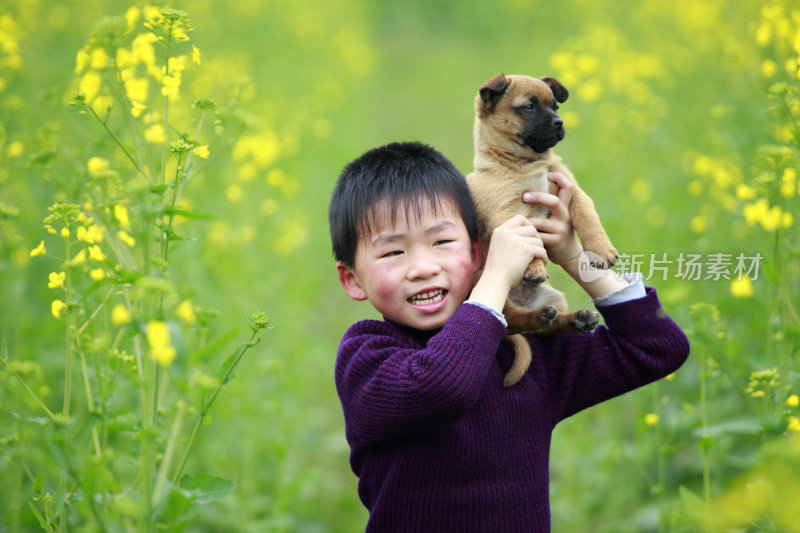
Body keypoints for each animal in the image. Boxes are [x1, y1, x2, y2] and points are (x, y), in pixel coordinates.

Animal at [462, 72, 620, 384]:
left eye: (555, 107)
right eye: (529, 107)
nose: (560, 123)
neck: (526, 166)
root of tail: (525, 302)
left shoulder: (573, 192)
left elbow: (588, 218)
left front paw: (600, 250)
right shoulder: (508, 216)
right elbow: (530, 241)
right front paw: (534, 267)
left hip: (554, 297)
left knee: (544, 330)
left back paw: (575, 320)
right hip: (485, 284)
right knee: (510, 322)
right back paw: (536, 315)